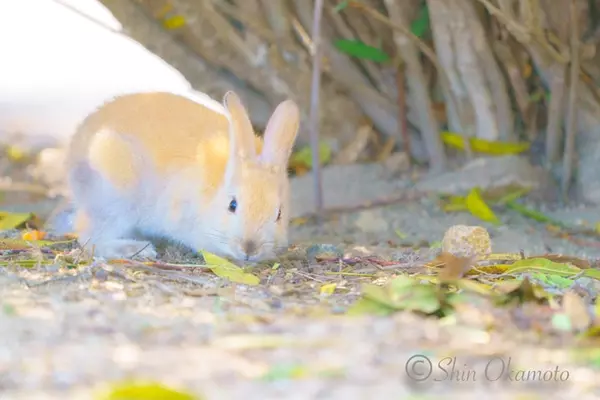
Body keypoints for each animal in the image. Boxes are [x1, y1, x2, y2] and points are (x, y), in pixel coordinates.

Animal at [65, 89, 300, 260]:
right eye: (232, 205)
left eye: (279, 214)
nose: (249, 249)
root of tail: (75, 146)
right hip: (117, 199)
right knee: (89, 235)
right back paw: (136, 249)